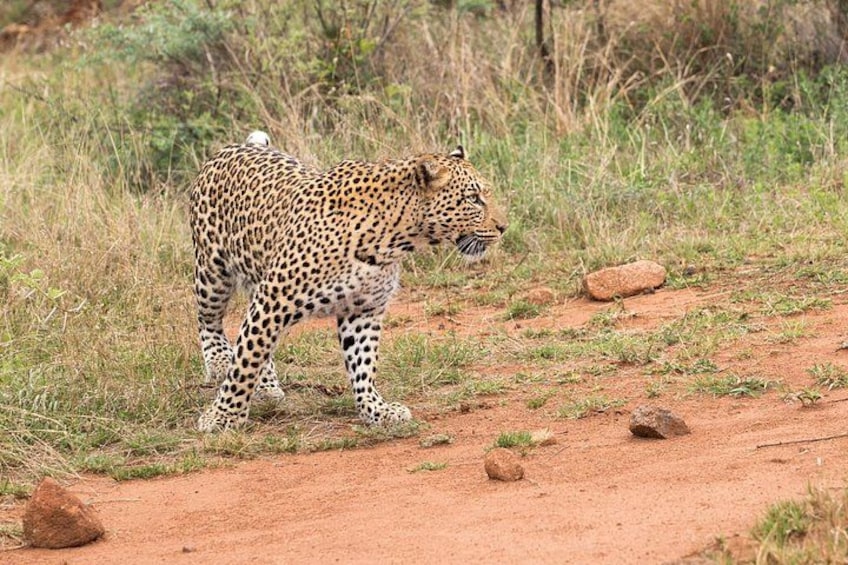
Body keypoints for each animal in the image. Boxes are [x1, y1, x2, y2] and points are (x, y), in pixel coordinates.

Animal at [190, 135, 508, 432]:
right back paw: (219, 361)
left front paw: (376, 409)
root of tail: (234, 147)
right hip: (212, 272)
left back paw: (266, 387)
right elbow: (246, 361)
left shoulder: (363, 310)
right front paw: (223, 416)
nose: (504, 227)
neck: (394, 238)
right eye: (473, 198)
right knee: (210, 321)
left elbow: (362, 363)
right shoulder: (273, 301)